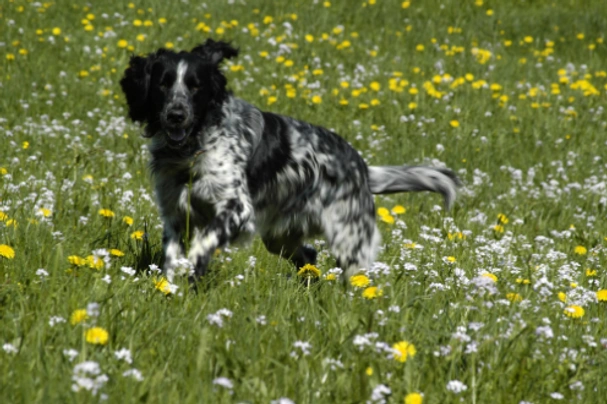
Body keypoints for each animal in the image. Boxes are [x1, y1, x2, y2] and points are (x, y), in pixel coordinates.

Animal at [120, 39, 460, 282]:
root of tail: (361, 167)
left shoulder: (237, 209)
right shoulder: (175, 214)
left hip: (349, 240)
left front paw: (192, 268)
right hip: (279, 237)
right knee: (309, 257)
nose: (176, 115)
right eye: (163, 83)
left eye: (195, 86)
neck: (192, 150)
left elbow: (202, 245)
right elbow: (171, 259)